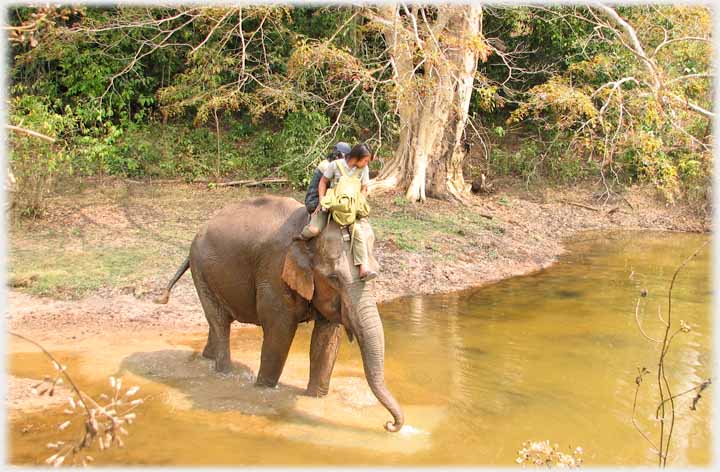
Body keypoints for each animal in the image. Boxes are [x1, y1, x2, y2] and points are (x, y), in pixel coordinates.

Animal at [156, 195, 404, 432]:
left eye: (376, 273)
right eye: (333, 278)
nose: (389, 425)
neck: (308, 229)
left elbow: (326, 340)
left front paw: (315, 398)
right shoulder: (274, 272)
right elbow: (279, 333)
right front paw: (263, 391)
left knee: (216, 324)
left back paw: (207, 359)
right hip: (201, 270)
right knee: (220, 322)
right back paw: (224, 373)